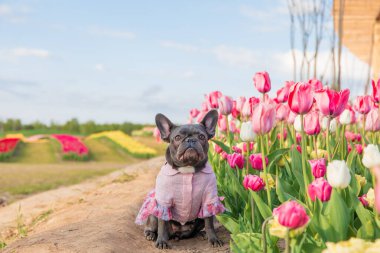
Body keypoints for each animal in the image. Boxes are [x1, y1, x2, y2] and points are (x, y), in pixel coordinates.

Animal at [136, 110, 226, 249]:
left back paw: (202, 233)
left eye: (202, 137)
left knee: (198, 227)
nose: (190, 140)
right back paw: (151, 235)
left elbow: (209, 222)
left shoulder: (208, 200)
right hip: (153, 213)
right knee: (153, 224)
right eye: (177, 137)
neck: (187, 169)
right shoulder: (164, 202)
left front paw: (213, 238)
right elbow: (162, 224)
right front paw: (161, 241)